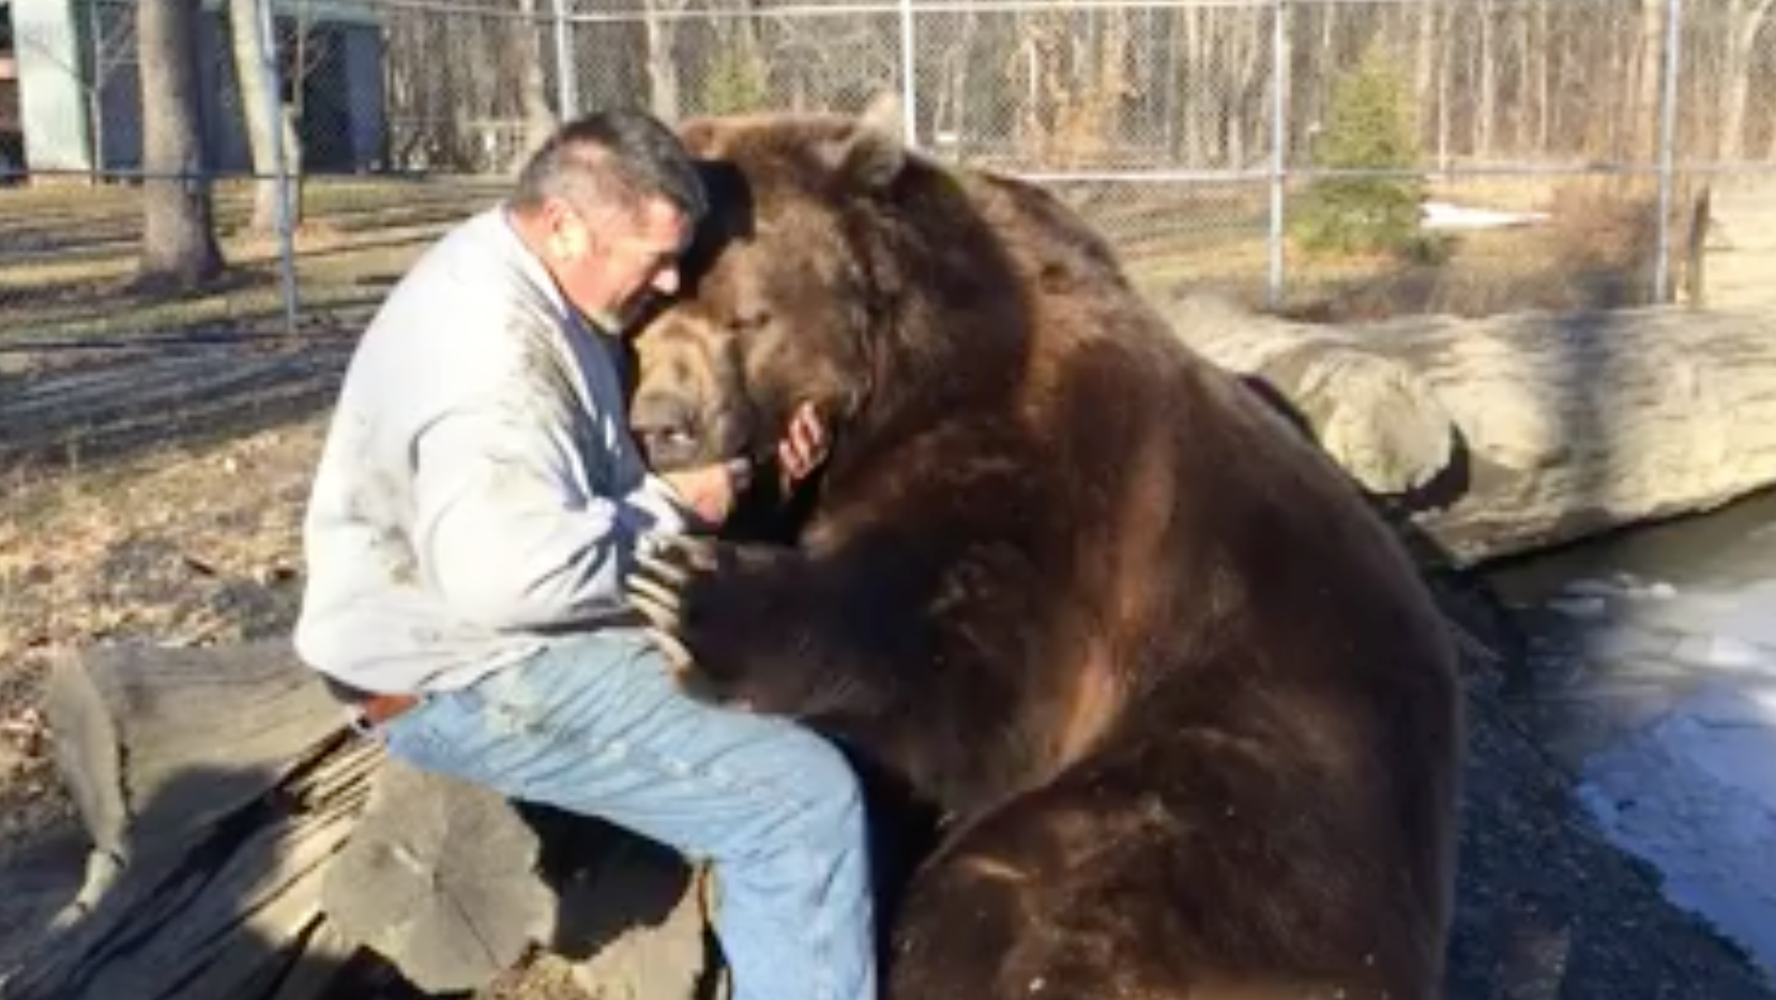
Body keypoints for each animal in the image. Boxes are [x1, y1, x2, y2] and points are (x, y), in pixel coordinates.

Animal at [623, 99, 1465, 1000]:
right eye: (642, 318)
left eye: (747, 316)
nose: (664, 424)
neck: (914, 380)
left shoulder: (1059, 487)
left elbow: (974, 678)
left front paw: (692, 596)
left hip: (1239, 795)